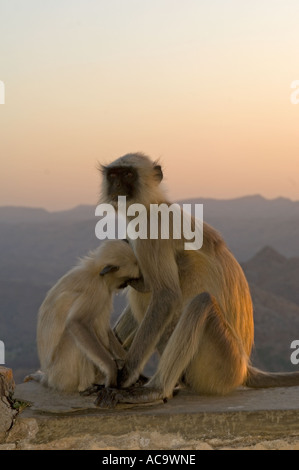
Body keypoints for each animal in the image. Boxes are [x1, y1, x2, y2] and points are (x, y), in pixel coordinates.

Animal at [24, 239, 144, 392]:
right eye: (127, 279)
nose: (126, 285)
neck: (94, 271)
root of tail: (49, 378)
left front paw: (127, 363)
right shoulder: (96, 289)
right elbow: (77, 322)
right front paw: (112, 371)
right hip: (63, 374)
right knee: (74, 332)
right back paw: (87, 386)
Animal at [96, 151, 299, 408]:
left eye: (129, 174)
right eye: (113, 175)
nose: (117, 187)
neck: (154, 206)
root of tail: (245, 368)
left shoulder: (152, 231)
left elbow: (166, 296)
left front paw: (123, 376)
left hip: (224, 363)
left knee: (200, 303)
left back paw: (156, 390)